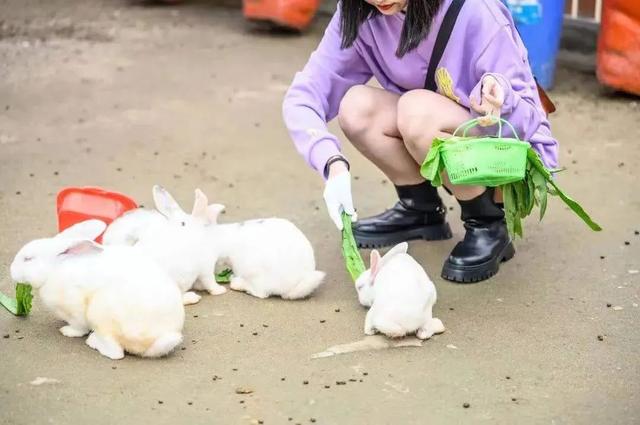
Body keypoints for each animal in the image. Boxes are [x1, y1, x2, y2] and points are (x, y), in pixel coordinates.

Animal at [10, 220, 185, 360]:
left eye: (28, 259)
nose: (11, 271)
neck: (53, 271)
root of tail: (157, 340)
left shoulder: (74, 308)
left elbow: (78, 326)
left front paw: (67, 331)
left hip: (100, 314)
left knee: (116, 352)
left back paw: (93, 342)